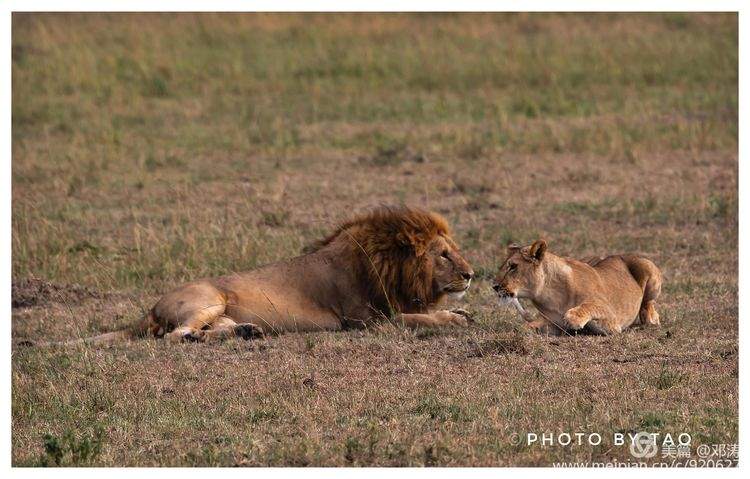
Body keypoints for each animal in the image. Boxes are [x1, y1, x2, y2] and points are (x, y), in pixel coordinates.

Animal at [38, 205, 472, 344]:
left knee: (210, 331)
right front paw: (453, 318)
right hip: (208, 298)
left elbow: (424, 313)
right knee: (174, 336)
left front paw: (458, 312)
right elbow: (416, 319)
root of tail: (151, 308)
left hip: (219, 311)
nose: (472, 274)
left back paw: (246, 332)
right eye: (444, 254)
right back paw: (199, 337)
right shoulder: (366, 320)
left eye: (456, 249)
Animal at [494, 240, 664, 338]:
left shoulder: (612, 320)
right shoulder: (552, 324)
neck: (548, 296)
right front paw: (521, 329)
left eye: (513, 266)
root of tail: (617, 255)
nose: (494, 286)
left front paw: (574, 318)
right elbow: (527, 327)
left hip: (647, 267)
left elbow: (590, 307)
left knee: (648, 305)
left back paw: (649, 319)